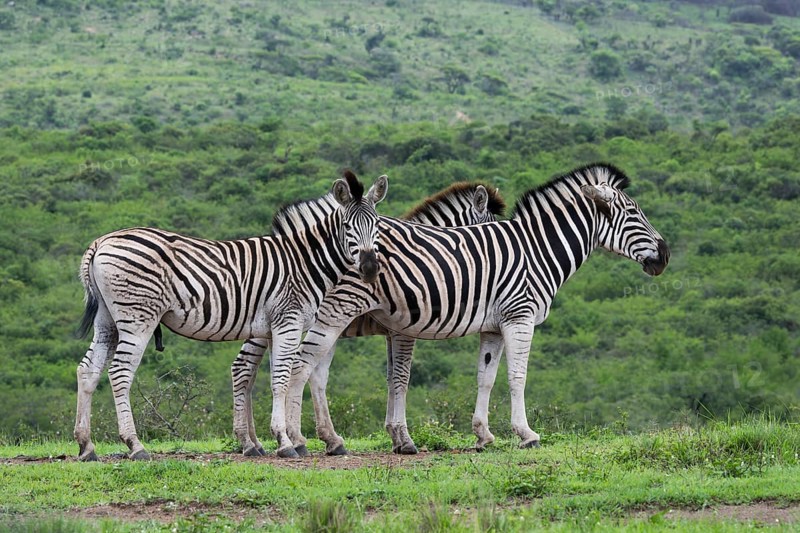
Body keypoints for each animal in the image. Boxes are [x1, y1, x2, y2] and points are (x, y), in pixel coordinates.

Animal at [74, 172, 387, 461]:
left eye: (377, 225)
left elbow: (272, 378)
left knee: (88, 370)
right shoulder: (288, 322)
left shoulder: (273, 328)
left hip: (107, 321)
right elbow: (282, 379)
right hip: (138, 317)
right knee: (119, 372)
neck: (305, 262)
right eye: (347, 226)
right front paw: (285, 442)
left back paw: (86, 446)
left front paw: (274, 439)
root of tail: (100, 242)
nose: (370, 268)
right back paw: (135, 445)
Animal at [230, 182, 506, 457]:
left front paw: (395, 436)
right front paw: (404, 438)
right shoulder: (403, 331)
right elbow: (401, 378)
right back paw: (267, 441)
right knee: (248, 368)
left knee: (256, 371)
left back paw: (257, 442)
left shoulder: (390, 333)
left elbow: (391, 378)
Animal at [282, 163, 670, 455]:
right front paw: (526, 434)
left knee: (308, 370)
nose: (665, 256)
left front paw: (482, 434)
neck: (536, 251)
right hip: (334, 312)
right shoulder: (518, 317)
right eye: (633, 212)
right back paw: (297, 440)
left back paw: (315, 439)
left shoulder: (492, 327)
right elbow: (516, 376)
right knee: (300, 367)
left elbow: (485, 377)